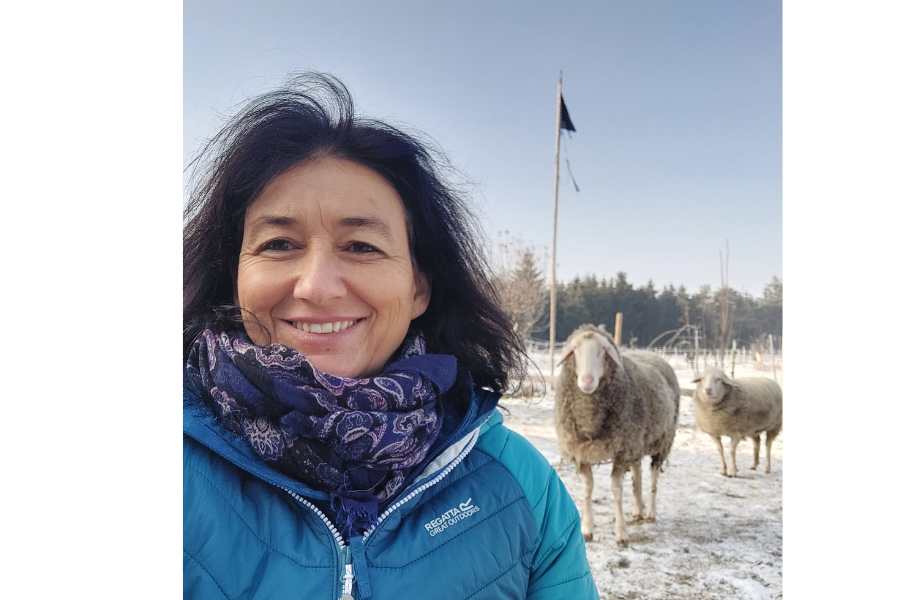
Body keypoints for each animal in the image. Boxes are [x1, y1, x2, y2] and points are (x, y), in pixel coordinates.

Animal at [552, 326, 680, 548]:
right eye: (575, 350)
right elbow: (587, 489)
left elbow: (617, 490)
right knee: (637, 474)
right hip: (637, 442)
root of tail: (650, 353)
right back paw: (638, 510)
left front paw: (621, 534)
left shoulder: (621, 451)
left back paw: (650, 512)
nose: (587, 381)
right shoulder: (582, 452)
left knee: (654, 478)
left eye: (603, 351)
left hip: (662, 442)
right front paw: (587, 530)